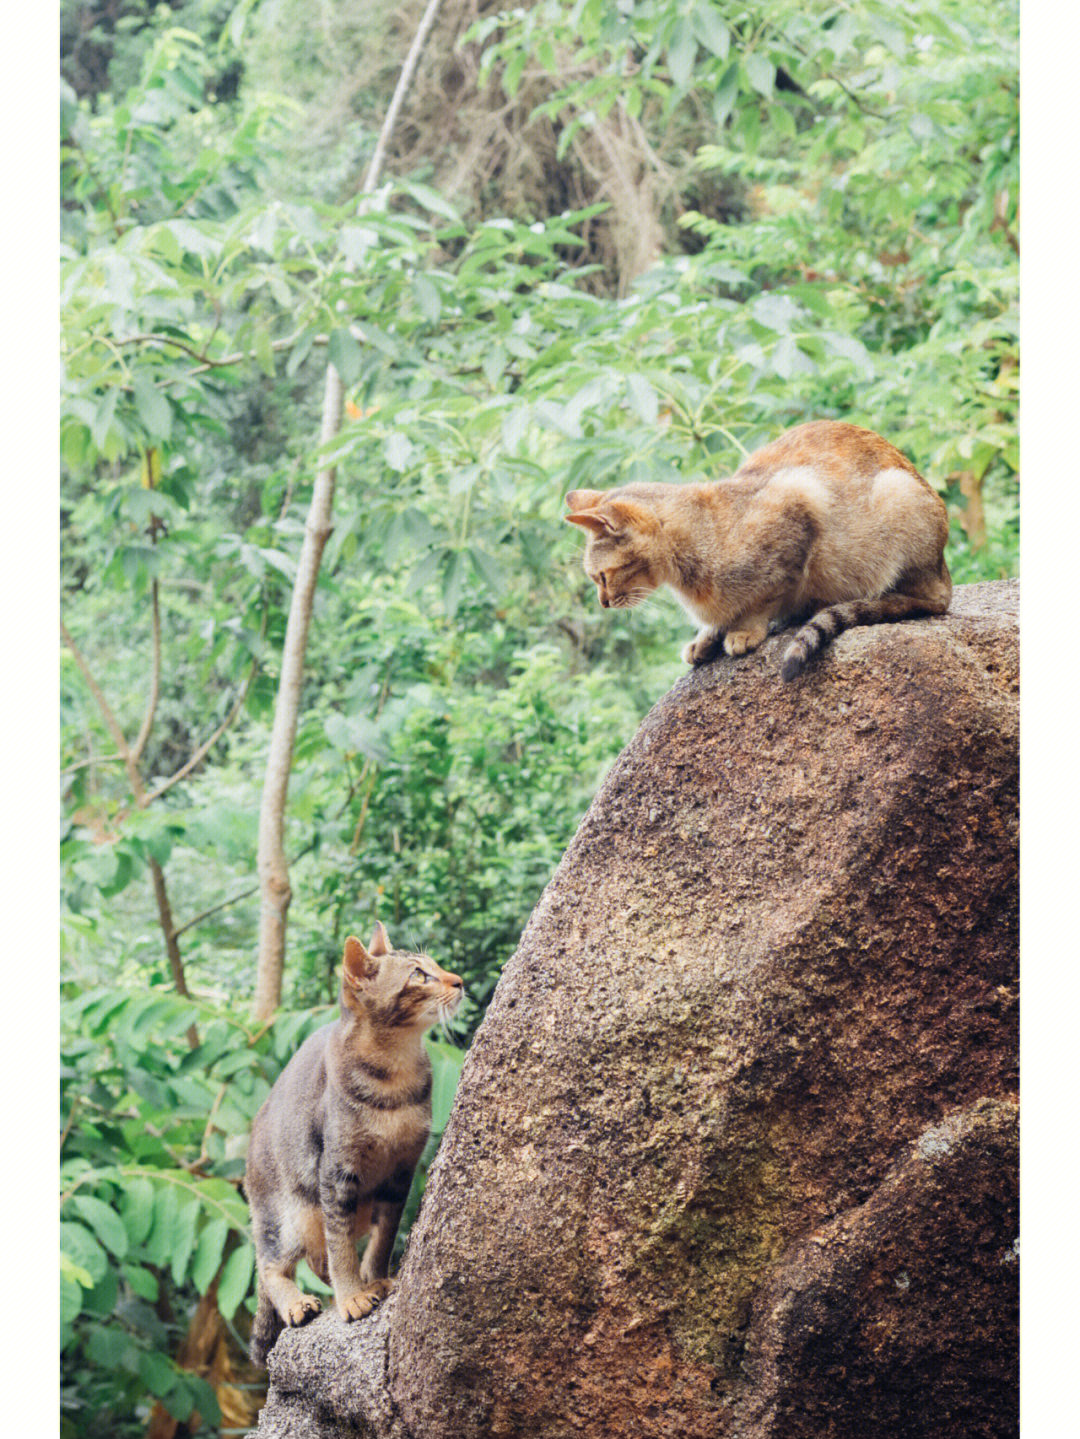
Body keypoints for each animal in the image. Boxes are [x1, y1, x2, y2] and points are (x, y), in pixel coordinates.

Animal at [560, 420, 949, 679]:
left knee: (915, 598)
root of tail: (945, 576)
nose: (603, 603)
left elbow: (765, 596)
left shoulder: (799, 501)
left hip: (896, 496)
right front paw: (706, 637)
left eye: (602, 576)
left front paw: (744, 630)